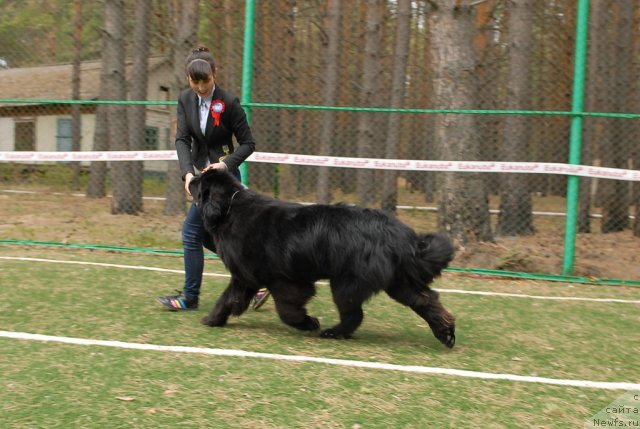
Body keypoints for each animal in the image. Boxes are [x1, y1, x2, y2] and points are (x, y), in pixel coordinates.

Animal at [189, 169, 456, 346]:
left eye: (200, 181)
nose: (190, 177)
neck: (229, 209)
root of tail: (400, 234)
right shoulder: (245, 277)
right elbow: (227, 298)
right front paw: (212, 319)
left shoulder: (282, 281)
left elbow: (287, 310)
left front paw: (308, 322)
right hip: (398, 281)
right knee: (426, 300)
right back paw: (445, 333)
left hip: (346, 283)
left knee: (354, 314)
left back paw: (333, 332)